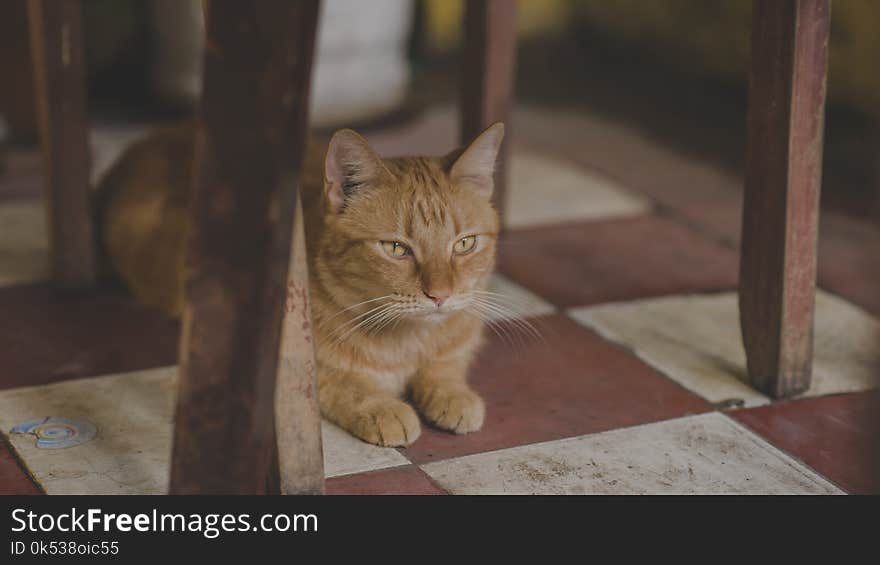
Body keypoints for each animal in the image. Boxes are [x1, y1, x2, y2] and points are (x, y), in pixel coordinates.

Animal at [94, 120, 502, 446]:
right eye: (396, 248)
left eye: (464, 244)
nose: (440, 296)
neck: (407, 341)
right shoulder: (282, 367)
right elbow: (346, 384)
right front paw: (383, 408)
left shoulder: (458, 341)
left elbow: (445, 367)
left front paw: (454, 394)